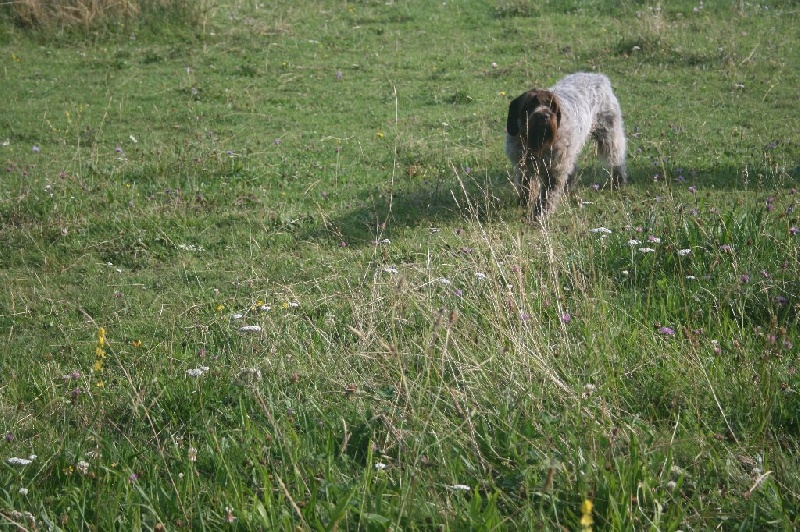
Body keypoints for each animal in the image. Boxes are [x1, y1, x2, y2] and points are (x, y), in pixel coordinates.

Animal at [505, 73, 627, 218]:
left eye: (551, 105)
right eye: (529, 105)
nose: (544, 116)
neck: (537, 144)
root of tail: (599, 77)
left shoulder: (555, 172)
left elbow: (546, 197)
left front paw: (539, 215)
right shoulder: (524, 167)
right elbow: (526, 187)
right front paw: (524, 204)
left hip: (609, 136)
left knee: (616, 160)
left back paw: (618, 182)